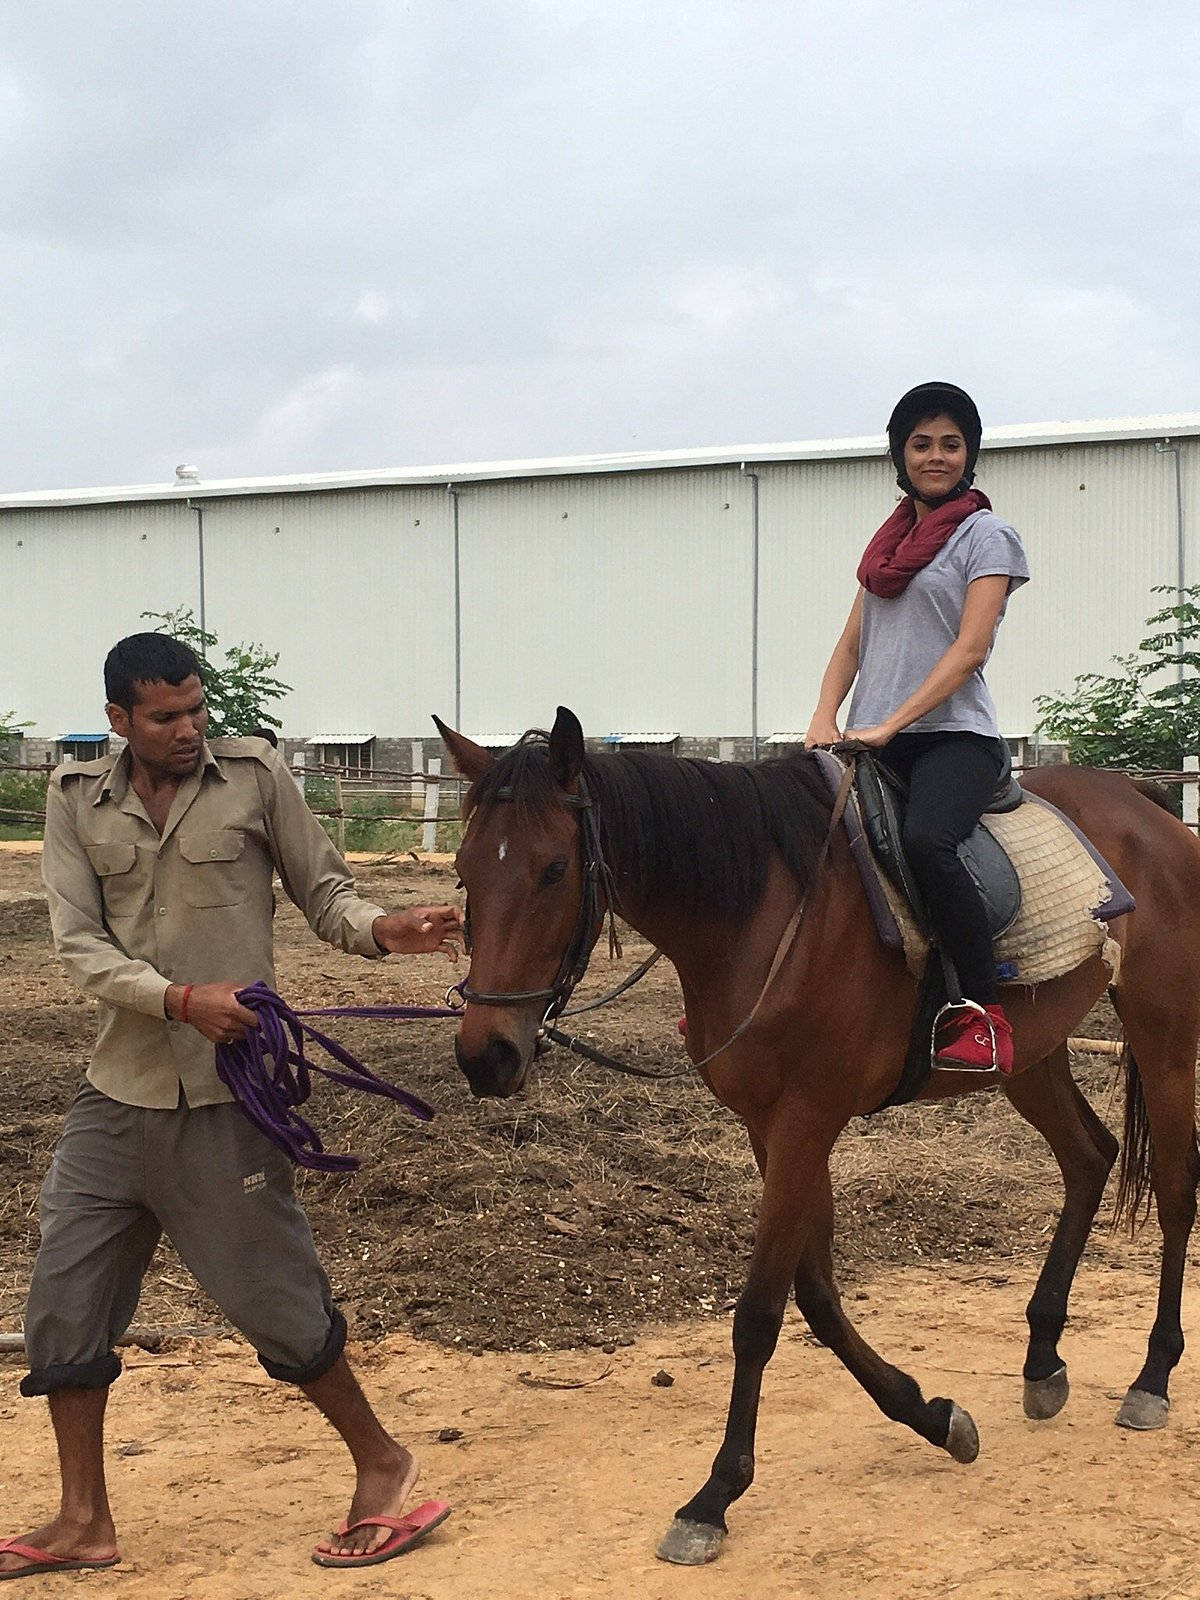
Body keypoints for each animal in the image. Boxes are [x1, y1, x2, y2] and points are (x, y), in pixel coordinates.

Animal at [438, 710, 1200, 1561]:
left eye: (552, 870)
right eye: (465, 873)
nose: (486, 1055)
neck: (763, 914)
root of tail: (1148, 809)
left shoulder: (807, 1120)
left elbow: (760, 1313)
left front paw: (713, 1498)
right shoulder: (771, 1129)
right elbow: (818, 1295)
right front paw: (933, 1417)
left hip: (1166, 1037)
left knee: (1176, 1192)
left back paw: (1151, 1379)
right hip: (1030, 1054)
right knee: (1089, 1158)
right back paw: (1042, 1361)